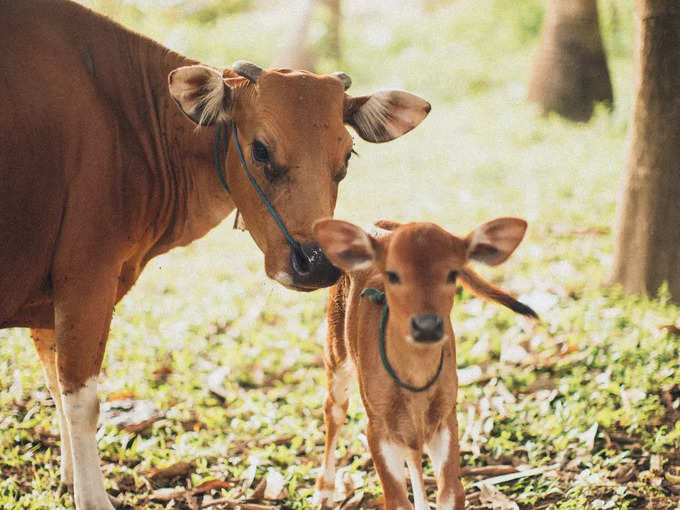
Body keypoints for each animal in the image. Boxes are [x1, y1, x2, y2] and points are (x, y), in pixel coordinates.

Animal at [0, 1, 430, 508]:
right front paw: (91, 495)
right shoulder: (86, 278)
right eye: (260, 149)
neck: (129, 121)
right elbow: (82, 400)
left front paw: (69, 478)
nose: (317, 263)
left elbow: (55, 384)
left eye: (346, 157)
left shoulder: (51, 297)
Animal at [310, 218, 540, 510]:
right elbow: (397, 500)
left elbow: (451, 493)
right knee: (335, 408)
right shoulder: (378, 427)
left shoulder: (446, 417)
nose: (427, 326)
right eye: (393, 274)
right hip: (336, 348)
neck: (416, 381)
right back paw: (325, 490)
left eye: (453, 273)